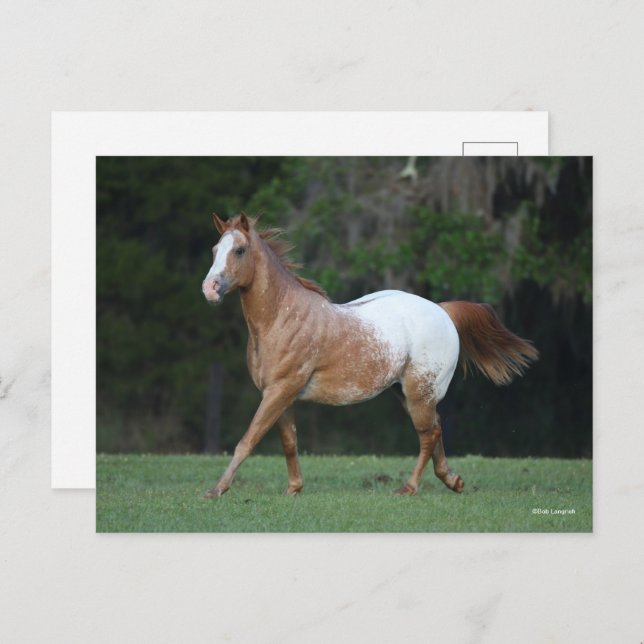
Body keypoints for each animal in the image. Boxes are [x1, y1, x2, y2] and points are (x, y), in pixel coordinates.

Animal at [201, 212, 538, 498]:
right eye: (215, 248)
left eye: (239, 250)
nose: (210, 288)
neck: (282, 319)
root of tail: (442, 311)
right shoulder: (280, 395)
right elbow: (289, 442)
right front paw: (293, 489)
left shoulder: (280, 391)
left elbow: (247, 440)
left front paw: (216, 490)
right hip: (406, 393)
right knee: (436, 428)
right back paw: (452, 480)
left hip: (420, 393)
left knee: (427, 435)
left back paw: (409, 488)